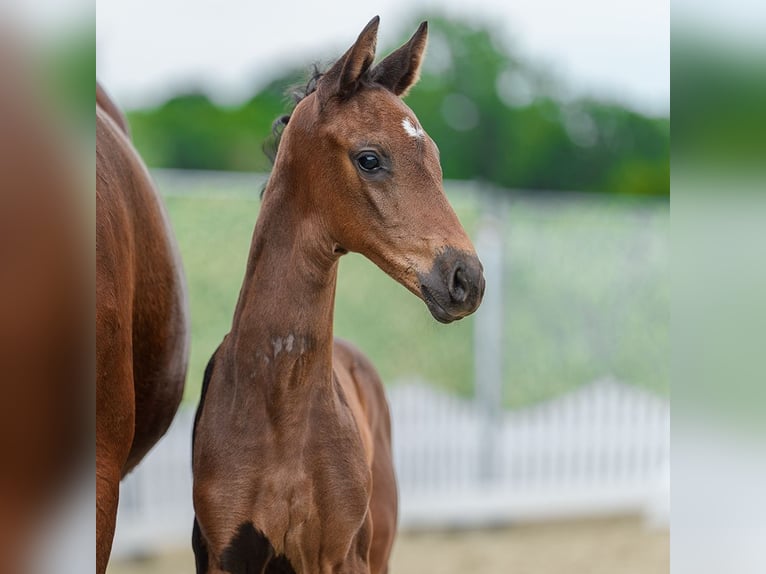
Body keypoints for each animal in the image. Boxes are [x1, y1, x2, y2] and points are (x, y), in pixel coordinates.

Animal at [191, 17, 484, 573]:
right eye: (370, 158)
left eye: (435, 158)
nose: (468, 279)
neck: (278, 411)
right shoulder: (223, 553)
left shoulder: (341, 553)